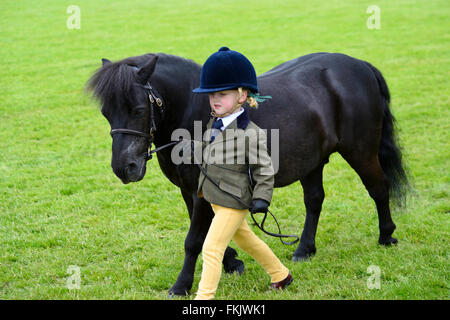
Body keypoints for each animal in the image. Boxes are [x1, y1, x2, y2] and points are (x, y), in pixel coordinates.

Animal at [87, 52, 408, 296]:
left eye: (139, 110)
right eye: (106, 113)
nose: (124, 168)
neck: (194, 113)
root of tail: (360, 65)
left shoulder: (201, 189)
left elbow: (194, 240)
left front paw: (181, 285)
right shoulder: (190, 189)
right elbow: (207, 229)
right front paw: (232, 262)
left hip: (361, 152)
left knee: (379, 187)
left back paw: (386, 235)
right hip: (312, 161)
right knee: (315, 200)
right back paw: (305, 249)